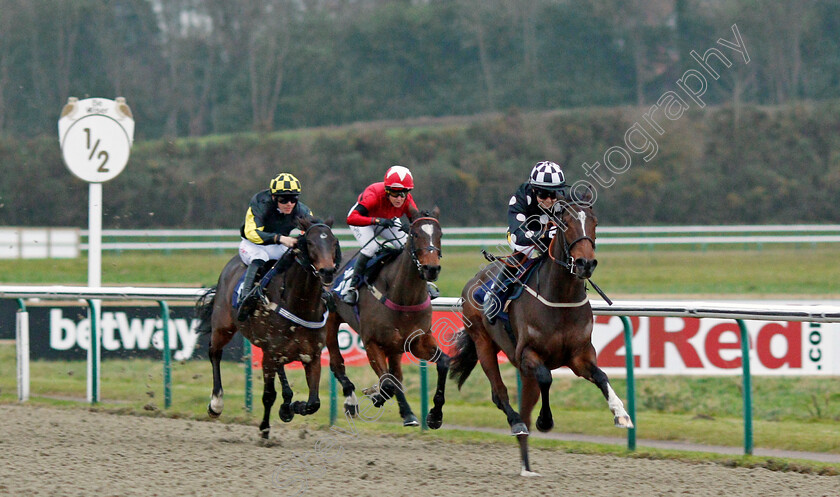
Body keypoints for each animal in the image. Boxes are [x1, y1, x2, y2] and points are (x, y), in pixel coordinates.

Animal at [195, 217, 340, 438]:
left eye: (333, 242)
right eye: (310, 243)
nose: (328, 271)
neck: (299, 304)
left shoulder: (311, 356)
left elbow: (313, 402)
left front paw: (291, 407)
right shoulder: (271, 353)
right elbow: (269, 395)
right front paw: (265, 428)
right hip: (223, 326)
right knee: (214, 352)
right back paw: (216, 404)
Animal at [324, 207, 450, 428]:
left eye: (440, 234)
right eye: (415, 235)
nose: (431, 269)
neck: (404, 297)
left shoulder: (417, 340)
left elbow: (443, 362)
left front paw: (434, 416)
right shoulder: (372, 342)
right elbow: (389, 383)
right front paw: (377, 395)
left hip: (395, 346)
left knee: (396, 373)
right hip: (331, 319)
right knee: (336, 362)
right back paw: (351, 402)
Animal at [452, 193, 632, 472]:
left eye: (595, 222)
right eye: (566, 223)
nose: (586, 263)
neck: (560, 298)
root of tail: (475, 278)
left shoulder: (579, 356)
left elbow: (601, 376)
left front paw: (621, 413)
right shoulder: (527, 354)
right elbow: (546, 378)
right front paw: (545, 421)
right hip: (483, 342)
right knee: (499, 392)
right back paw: (517, 423)